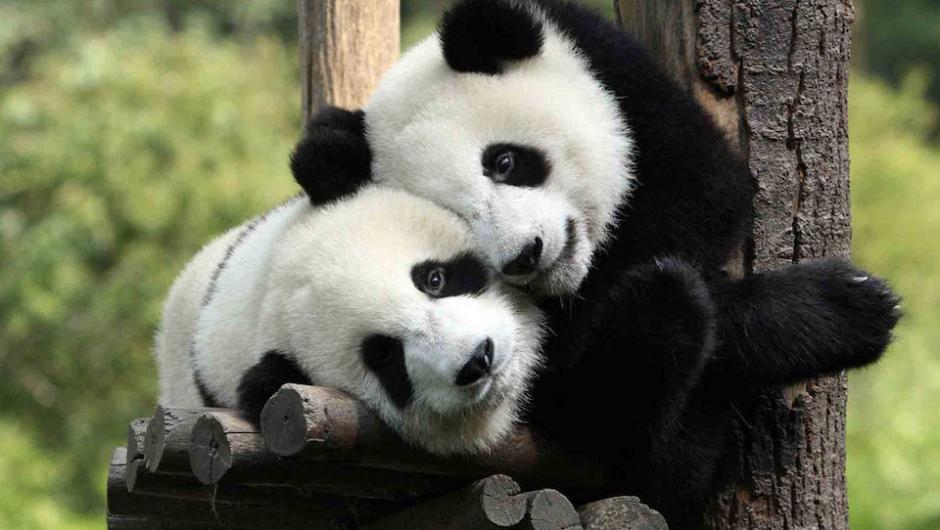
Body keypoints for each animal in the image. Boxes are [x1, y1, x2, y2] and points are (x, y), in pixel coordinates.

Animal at [289, 0, 901, 526]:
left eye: (504, 162)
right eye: (458, 219)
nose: (526, 255)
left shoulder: (619, 78)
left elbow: (708, 196)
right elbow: (575, 377)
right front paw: (843, 310)